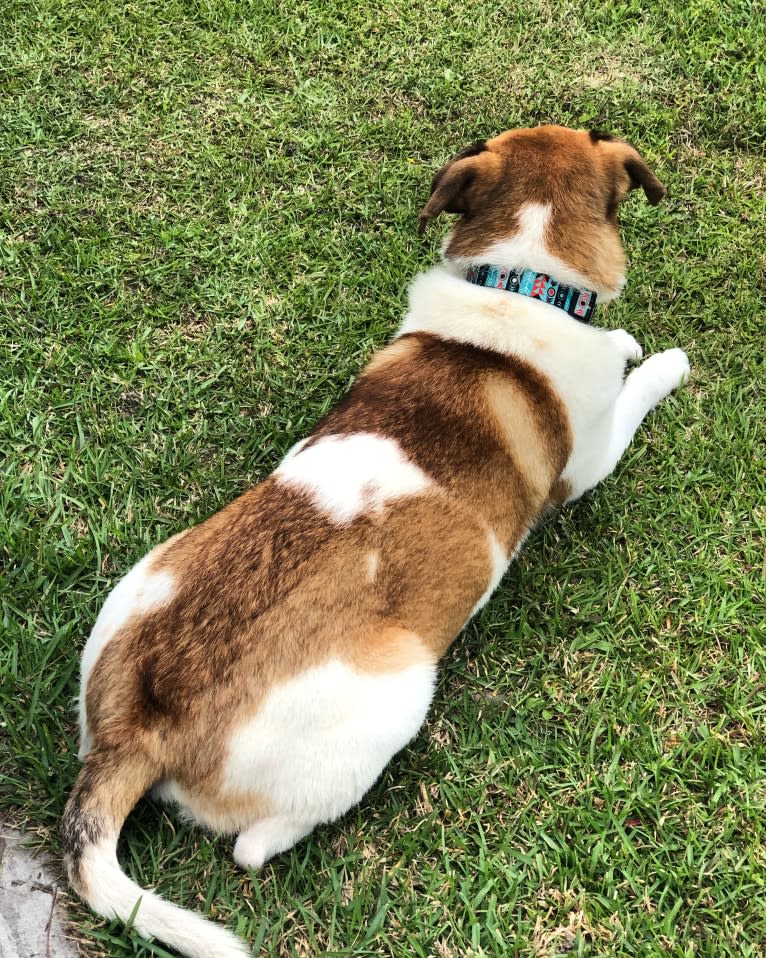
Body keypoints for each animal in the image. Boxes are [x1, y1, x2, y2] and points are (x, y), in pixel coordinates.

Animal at [63, 127, 692, 958]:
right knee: (251, 848)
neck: (518, 280)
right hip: (398, 698)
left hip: (137, 586)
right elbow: (634, 393)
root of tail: (138, 734)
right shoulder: (591, 460)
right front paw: (659, 361)